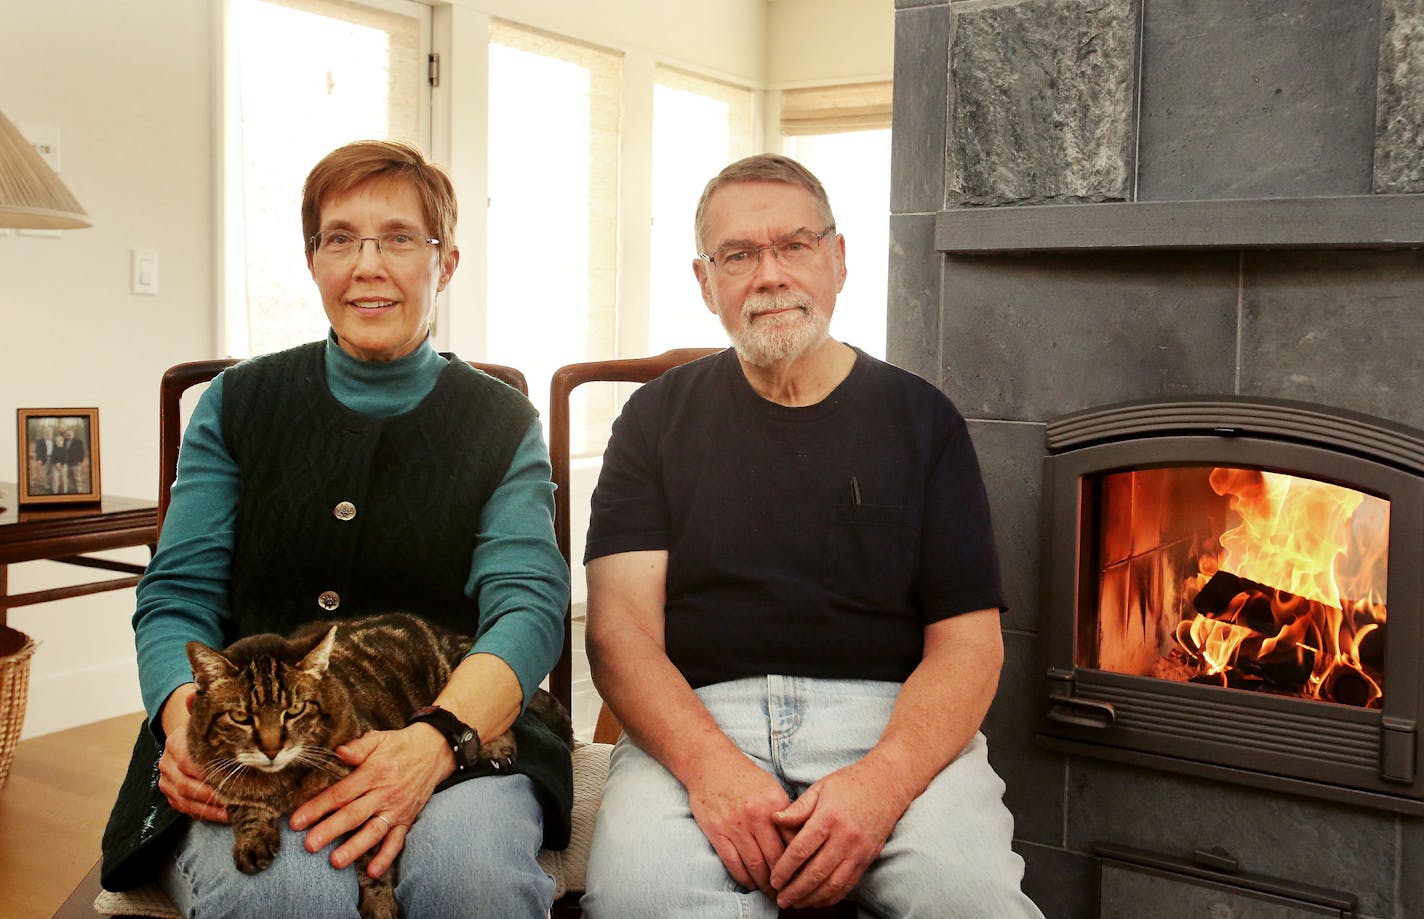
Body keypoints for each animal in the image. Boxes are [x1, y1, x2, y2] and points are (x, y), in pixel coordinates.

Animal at [186, 609, 575, 917]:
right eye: (241, 717)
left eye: (293, 711)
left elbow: (372, 864)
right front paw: (252, 840)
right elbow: (244, 805)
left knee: (492, 708)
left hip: (452, 679)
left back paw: (496, 746)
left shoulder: (367, 799)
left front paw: (380, 903)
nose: (271, 749)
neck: (284, 781)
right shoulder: (216, 772)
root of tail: (446, 635)